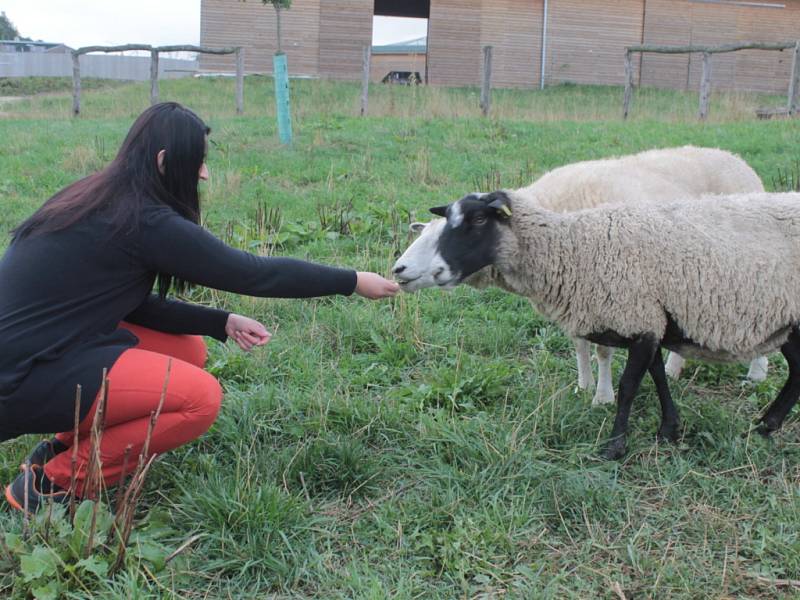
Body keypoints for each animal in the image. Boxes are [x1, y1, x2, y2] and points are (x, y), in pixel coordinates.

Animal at [392, 192, 800, 460]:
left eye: (477, 220)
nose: (398, 270)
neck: (575, 250)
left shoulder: (640, 320)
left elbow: (629, 387)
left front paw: (615, 446)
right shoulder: (646, 318)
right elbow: (657, 376)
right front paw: (669, 430)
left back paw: (767, 425)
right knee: (796, 373)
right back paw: (766, 425)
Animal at [400, 147, 768, 406]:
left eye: (473, 223)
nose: (398, 270)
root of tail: (738, 160)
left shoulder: (608, 294)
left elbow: (603, 351)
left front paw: (603, 397)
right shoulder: (573, 294)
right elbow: (579, 344)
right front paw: (583, 384)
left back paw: (756, 374)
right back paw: (675, 368)